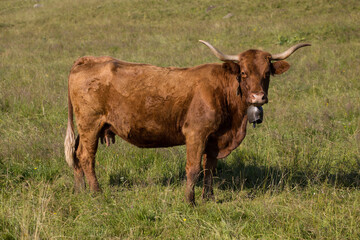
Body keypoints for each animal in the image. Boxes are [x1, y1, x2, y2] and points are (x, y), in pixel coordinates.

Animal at [64, 39, 310, 204]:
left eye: (267, 72)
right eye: (243, 72)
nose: (258, 98)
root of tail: (88, 59)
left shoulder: (215, 138)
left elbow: (209, 168)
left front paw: (208, 198)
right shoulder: (196, 134)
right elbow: (193, 168)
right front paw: (189, 201)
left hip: (87, 128)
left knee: (76, 156)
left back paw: (79, 190)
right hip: (90, 124)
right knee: (86, 157)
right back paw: (96, 193)